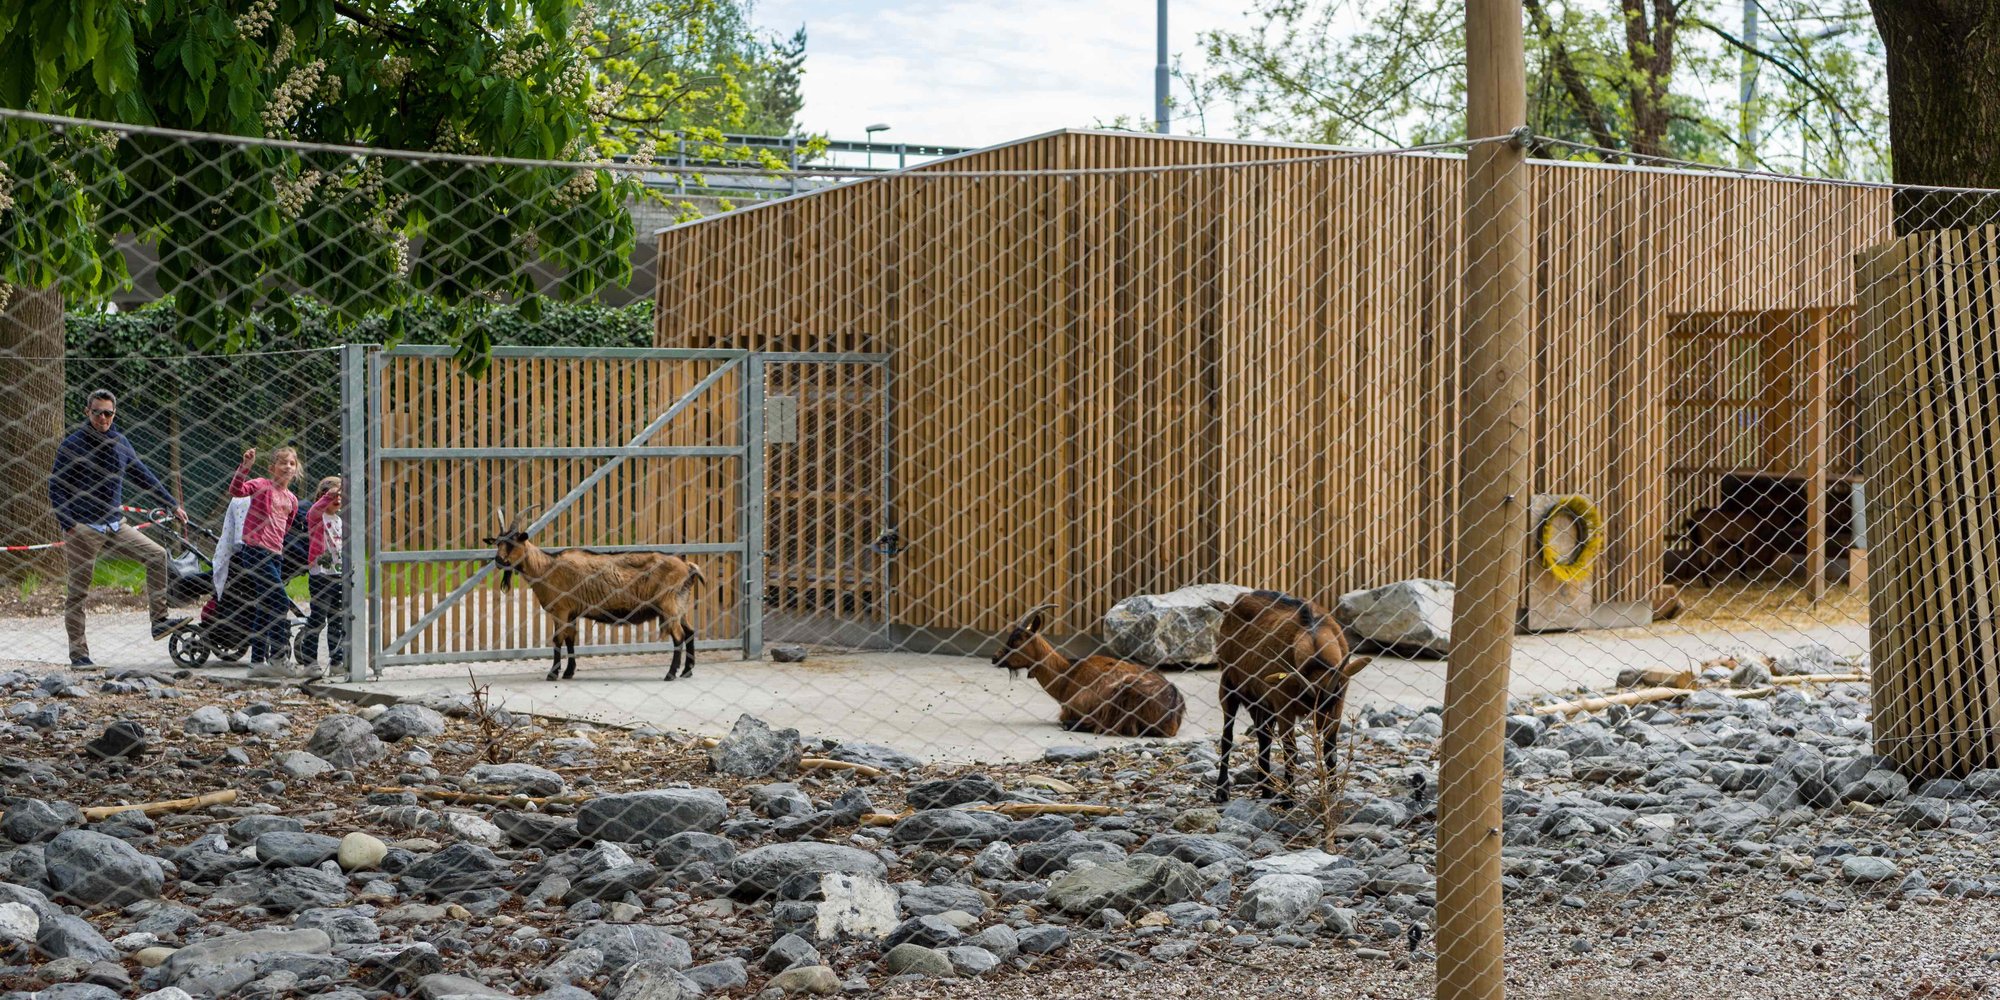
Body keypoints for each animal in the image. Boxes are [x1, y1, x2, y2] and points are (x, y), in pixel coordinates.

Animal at [482, 508, 704, 680]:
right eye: (498, 542)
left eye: (512, 543)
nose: (499, 561)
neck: (547, 567)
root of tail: (688, 567)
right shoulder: (571, 613)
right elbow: (570, 639)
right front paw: (569, 672)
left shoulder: (560, 610)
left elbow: (557, 639)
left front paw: (553, 674)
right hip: (680, 605)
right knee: (690, 632)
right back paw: (687, 671)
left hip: (669, 605)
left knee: (678, 636)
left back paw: (671, 674)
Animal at [1200, 588, 1376, 800]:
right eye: (1308, 698)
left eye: (1333, 700)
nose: (1319, 727)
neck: (1312, 631)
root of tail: (1232, 605)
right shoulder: (1283, 704)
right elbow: (1291, 750)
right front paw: (1288, 799)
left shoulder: (1338, 704)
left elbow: (1330, 750)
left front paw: (1333, 794)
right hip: (1229, 685)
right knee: (1228, 735)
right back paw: (1223, 790)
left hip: (1260, 701)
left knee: (1264, 737)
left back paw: (1267, 789)